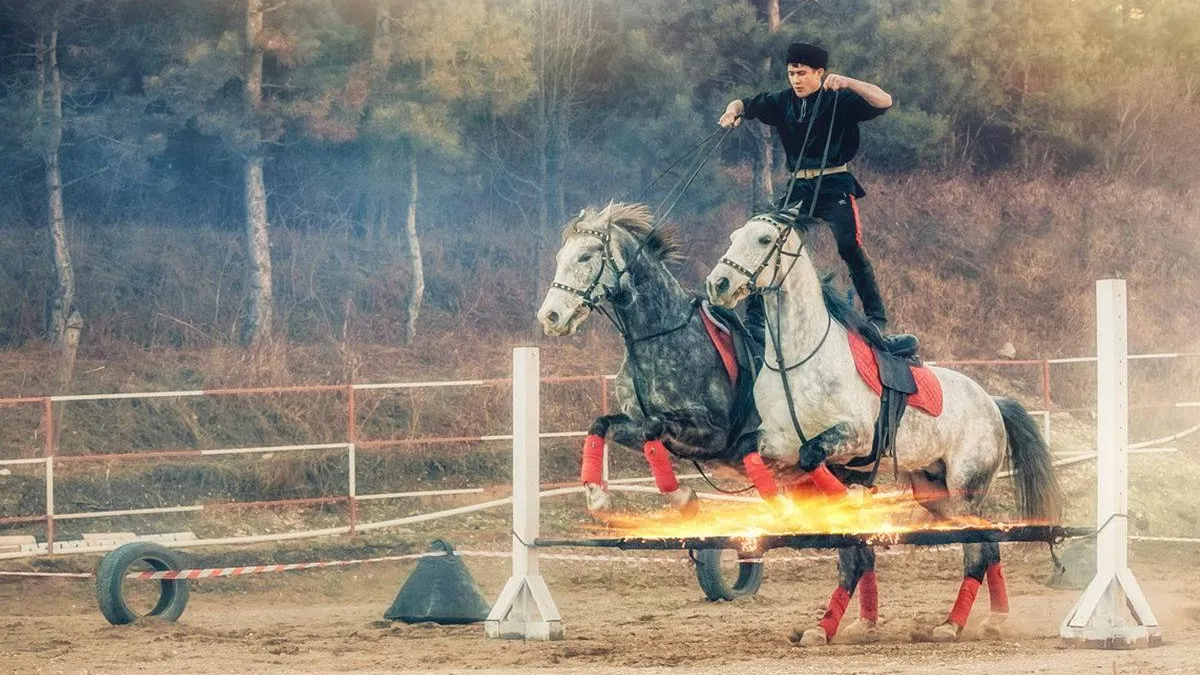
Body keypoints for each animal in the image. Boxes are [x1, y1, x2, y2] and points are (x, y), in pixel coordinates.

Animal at [700, 207, 1060, 643]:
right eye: (735, 236)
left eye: (764, 240)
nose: (719, 284)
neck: (797, 360)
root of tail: (992, 402)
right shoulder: (776, 440)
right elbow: (758, 455)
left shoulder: (856, 436)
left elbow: (813, 456)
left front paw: (843, 499)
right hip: (934, 492)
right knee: (986, 540)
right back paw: (991, 618)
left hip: (965, 488)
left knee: (978, 547)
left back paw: (953, 624)